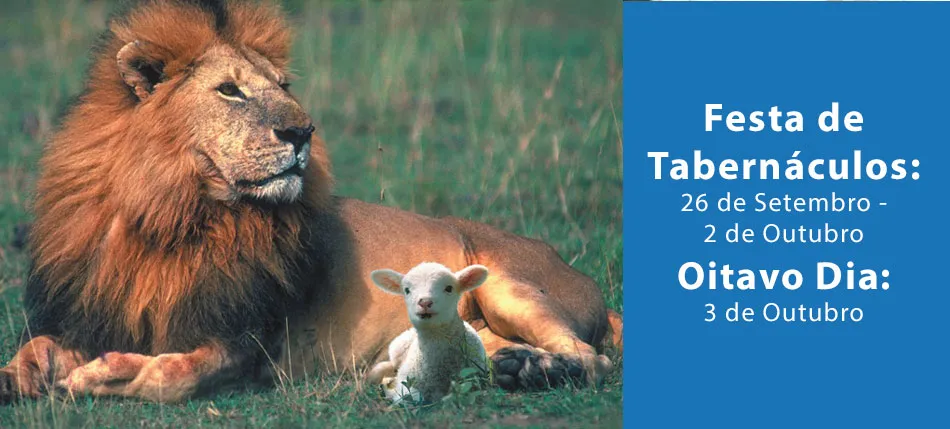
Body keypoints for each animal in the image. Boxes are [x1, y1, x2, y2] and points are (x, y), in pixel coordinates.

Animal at [0, 0, 622, 404]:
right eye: (231, 90)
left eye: (283, 86)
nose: (303, 132)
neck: (176, 215)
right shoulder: (90, 310)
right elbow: (35, 350)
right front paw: (16, 379)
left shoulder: (249, 345)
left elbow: (173, 377)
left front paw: (101, 377)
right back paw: (514, 367)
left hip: (507, 283)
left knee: (594, 359)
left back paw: (538, 371)